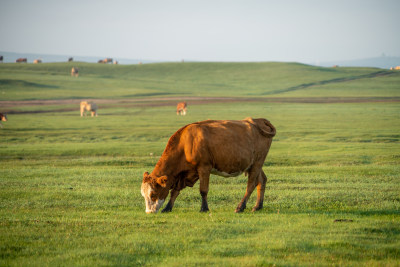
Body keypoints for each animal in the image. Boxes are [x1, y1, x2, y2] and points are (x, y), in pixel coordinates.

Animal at [141, 117, 276, 214]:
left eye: (153, 194)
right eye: (143, 194)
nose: (149, 212)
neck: (185, 144)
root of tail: (257, 120)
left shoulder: (204, 168)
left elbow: (203, 190)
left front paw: (204, 208)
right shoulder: (183, 174)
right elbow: (175, 191)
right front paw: (167, 208)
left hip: (257, 162)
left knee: (251, 184)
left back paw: (240, 207)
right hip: (254, 164)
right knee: (262, 180)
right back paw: (258, 206)